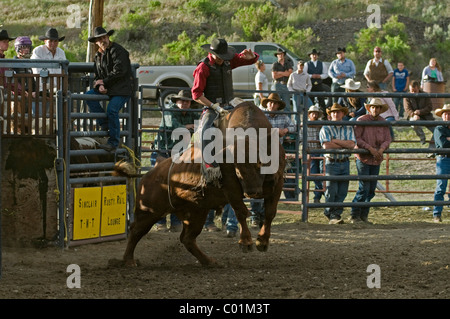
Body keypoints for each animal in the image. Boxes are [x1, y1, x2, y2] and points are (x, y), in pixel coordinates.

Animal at [112, 101, 284, 266]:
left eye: (260, 163)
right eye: (237, 167)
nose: (253, 192)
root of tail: (146, 175)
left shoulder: (278, 181)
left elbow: (270, 212)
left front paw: (262, 242)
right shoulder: (230, 184)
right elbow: (241, 211)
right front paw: (246, 243)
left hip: (196, 212)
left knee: (187, 238)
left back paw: (208, 261)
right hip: (148, 211)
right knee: (135, 231)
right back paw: (128, 260)